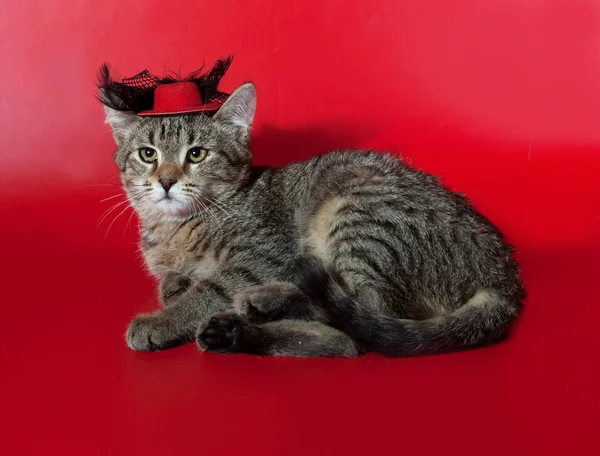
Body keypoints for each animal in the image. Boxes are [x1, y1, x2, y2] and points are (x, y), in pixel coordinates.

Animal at [101, 83, 524, 358]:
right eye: (148, 153)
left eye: (197, 154)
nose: (166, 181)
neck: (178, 228)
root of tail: (505, 277)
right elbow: (173, 283)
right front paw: (176, 288)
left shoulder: (264, 256)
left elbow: (209, 290)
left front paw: (164, 321)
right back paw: (235, 331)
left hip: (357, 213)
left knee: (357, 328)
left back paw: (260, 309)